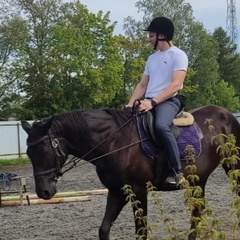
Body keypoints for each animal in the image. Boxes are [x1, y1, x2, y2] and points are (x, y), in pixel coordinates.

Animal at [21, 105, 240, 240]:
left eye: (44, 151)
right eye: (28, 153)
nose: (43, 192)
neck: (114, 142)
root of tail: (227, 115)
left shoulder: (138, 190)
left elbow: (141, 231)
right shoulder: (117, 191)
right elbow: (104, 229)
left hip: (232, 167)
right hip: (197, 180)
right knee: (197, 210)